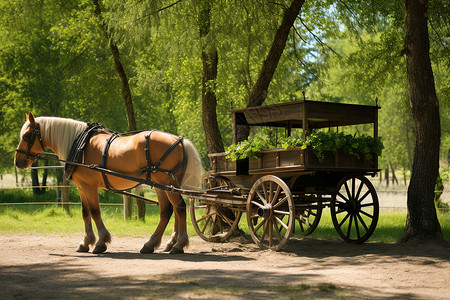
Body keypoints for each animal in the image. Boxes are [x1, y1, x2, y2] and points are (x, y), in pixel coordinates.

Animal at [14, 112, 202, 253]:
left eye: (27, 135)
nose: (18, 161)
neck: (80, 145)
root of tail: (179, 140)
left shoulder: (89, 186)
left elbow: (95, 211)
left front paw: (100, 242)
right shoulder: (82, 187)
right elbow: (85, 213)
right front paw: (86, 242)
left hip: (166, 184)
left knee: (179, 208)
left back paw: (178, 244)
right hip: (163, 186)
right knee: (169, 210)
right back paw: (156, 244)